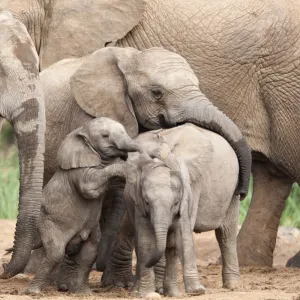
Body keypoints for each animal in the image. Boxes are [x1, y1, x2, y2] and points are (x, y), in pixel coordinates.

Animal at [23, 117, 149, 296]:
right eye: (105, 136)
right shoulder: (78, 172)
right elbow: (89, 186)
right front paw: (126, 167)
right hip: (49, 223)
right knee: (55, 253)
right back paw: (33, 291)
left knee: (89, 252)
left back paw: (82, 291)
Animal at [102, 123, 240, 296]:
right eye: (146, 201)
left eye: (176, 203)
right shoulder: (137, 197)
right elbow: (145, 238)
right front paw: (148, 292)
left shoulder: (192, 183)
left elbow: (179, 234)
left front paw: (187, 291)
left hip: (233, 190)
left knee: (226, 234)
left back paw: (233, 285)